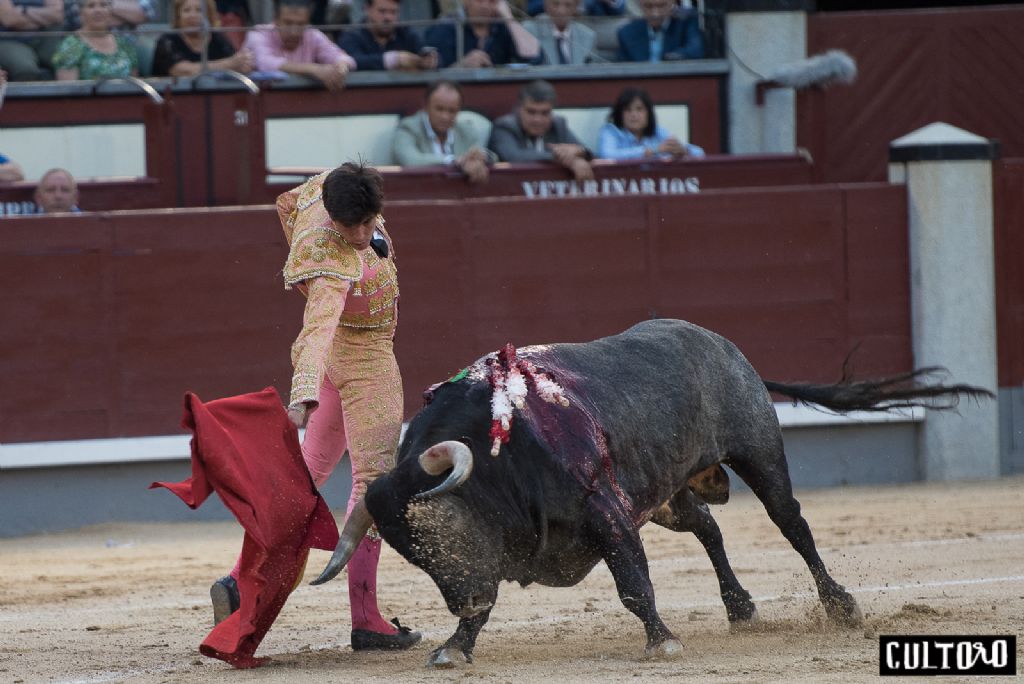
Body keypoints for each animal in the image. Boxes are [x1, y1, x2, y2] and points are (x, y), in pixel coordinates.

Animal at [309, 317, 991, 663]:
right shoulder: (547, 535)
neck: (502, 447)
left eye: (436, 527)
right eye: (410, 553)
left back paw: (839, 604)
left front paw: (662, 642)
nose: (461, 602)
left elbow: (634, 585)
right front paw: (456, 646)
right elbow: (492, 602)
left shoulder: (604, 511)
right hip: (666, 497)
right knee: (710, 528)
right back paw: (740, 608)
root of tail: (723, 345)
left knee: (792, 523)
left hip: (758, 452)